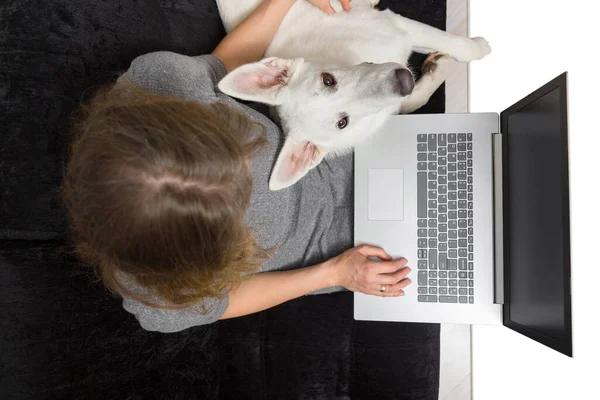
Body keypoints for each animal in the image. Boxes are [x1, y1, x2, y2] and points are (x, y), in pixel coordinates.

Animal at [218, 0, 490, 191]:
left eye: (327, 80)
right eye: (343, 123)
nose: (403, 81)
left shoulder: (398, 26)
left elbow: (454, 45)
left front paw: (469, 50)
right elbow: (416, 96)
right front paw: (465, 54)